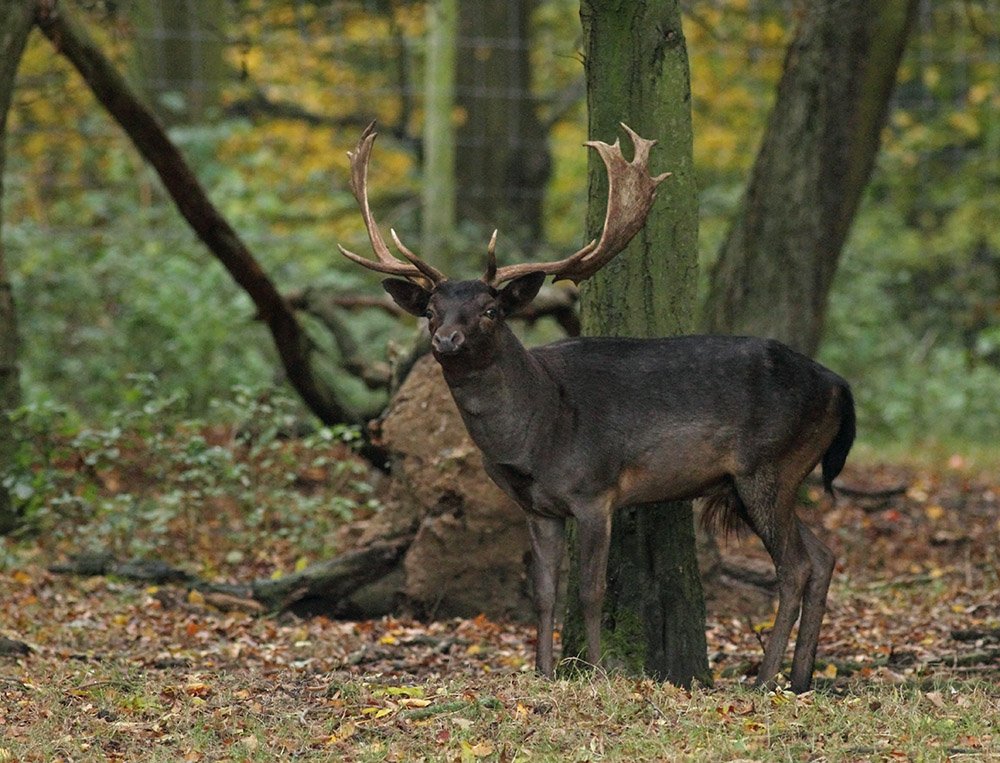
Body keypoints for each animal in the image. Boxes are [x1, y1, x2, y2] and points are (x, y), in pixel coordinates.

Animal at [336, 121, 856, 693]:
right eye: (430, 309)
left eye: (491, 310)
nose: (446, 340)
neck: (536, 434)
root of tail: (839, 385)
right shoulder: (537, 506)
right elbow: (543, 593)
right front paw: (543, 673)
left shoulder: (595, 490)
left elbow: (589, 590)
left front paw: (597, 672)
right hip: (765, 479)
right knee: (823, 556)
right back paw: (801, 676)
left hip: (770, 464)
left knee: (795, 566)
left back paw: (766, 679)